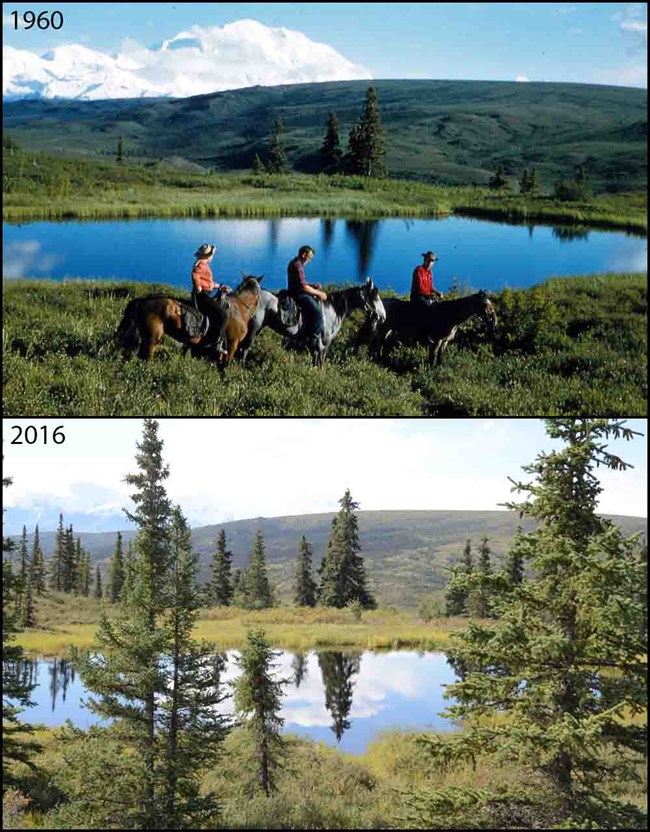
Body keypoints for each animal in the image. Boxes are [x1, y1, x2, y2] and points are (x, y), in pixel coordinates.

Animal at [237, 278, 384, 366]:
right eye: (375, 297)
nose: (383, 316)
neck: (334, 309)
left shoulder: (317, 345)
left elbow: (316, 360)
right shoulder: (324, 342)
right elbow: (320, 361)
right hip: (254, 328)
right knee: (244, 348)